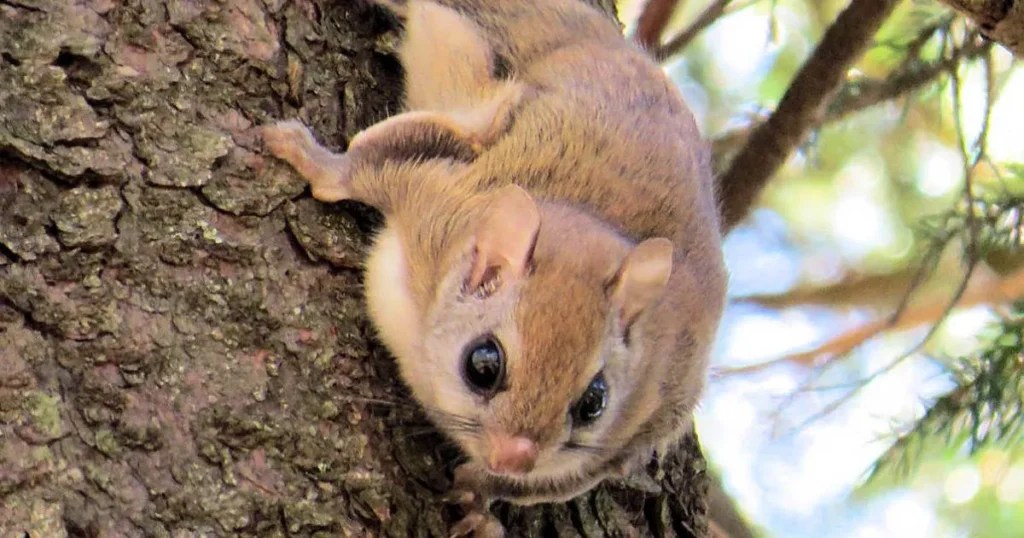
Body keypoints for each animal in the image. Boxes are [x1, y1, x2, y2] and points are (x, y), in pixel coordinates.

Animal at [262, 0, 727, 535]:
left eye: (594, 402)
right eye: (482, 365)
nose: (514, 456)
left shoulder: (636, 429)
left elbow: (540, 484)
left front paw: (478, 500)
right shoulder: (434, 198)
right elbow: (362, 171)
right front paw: (309, 158)